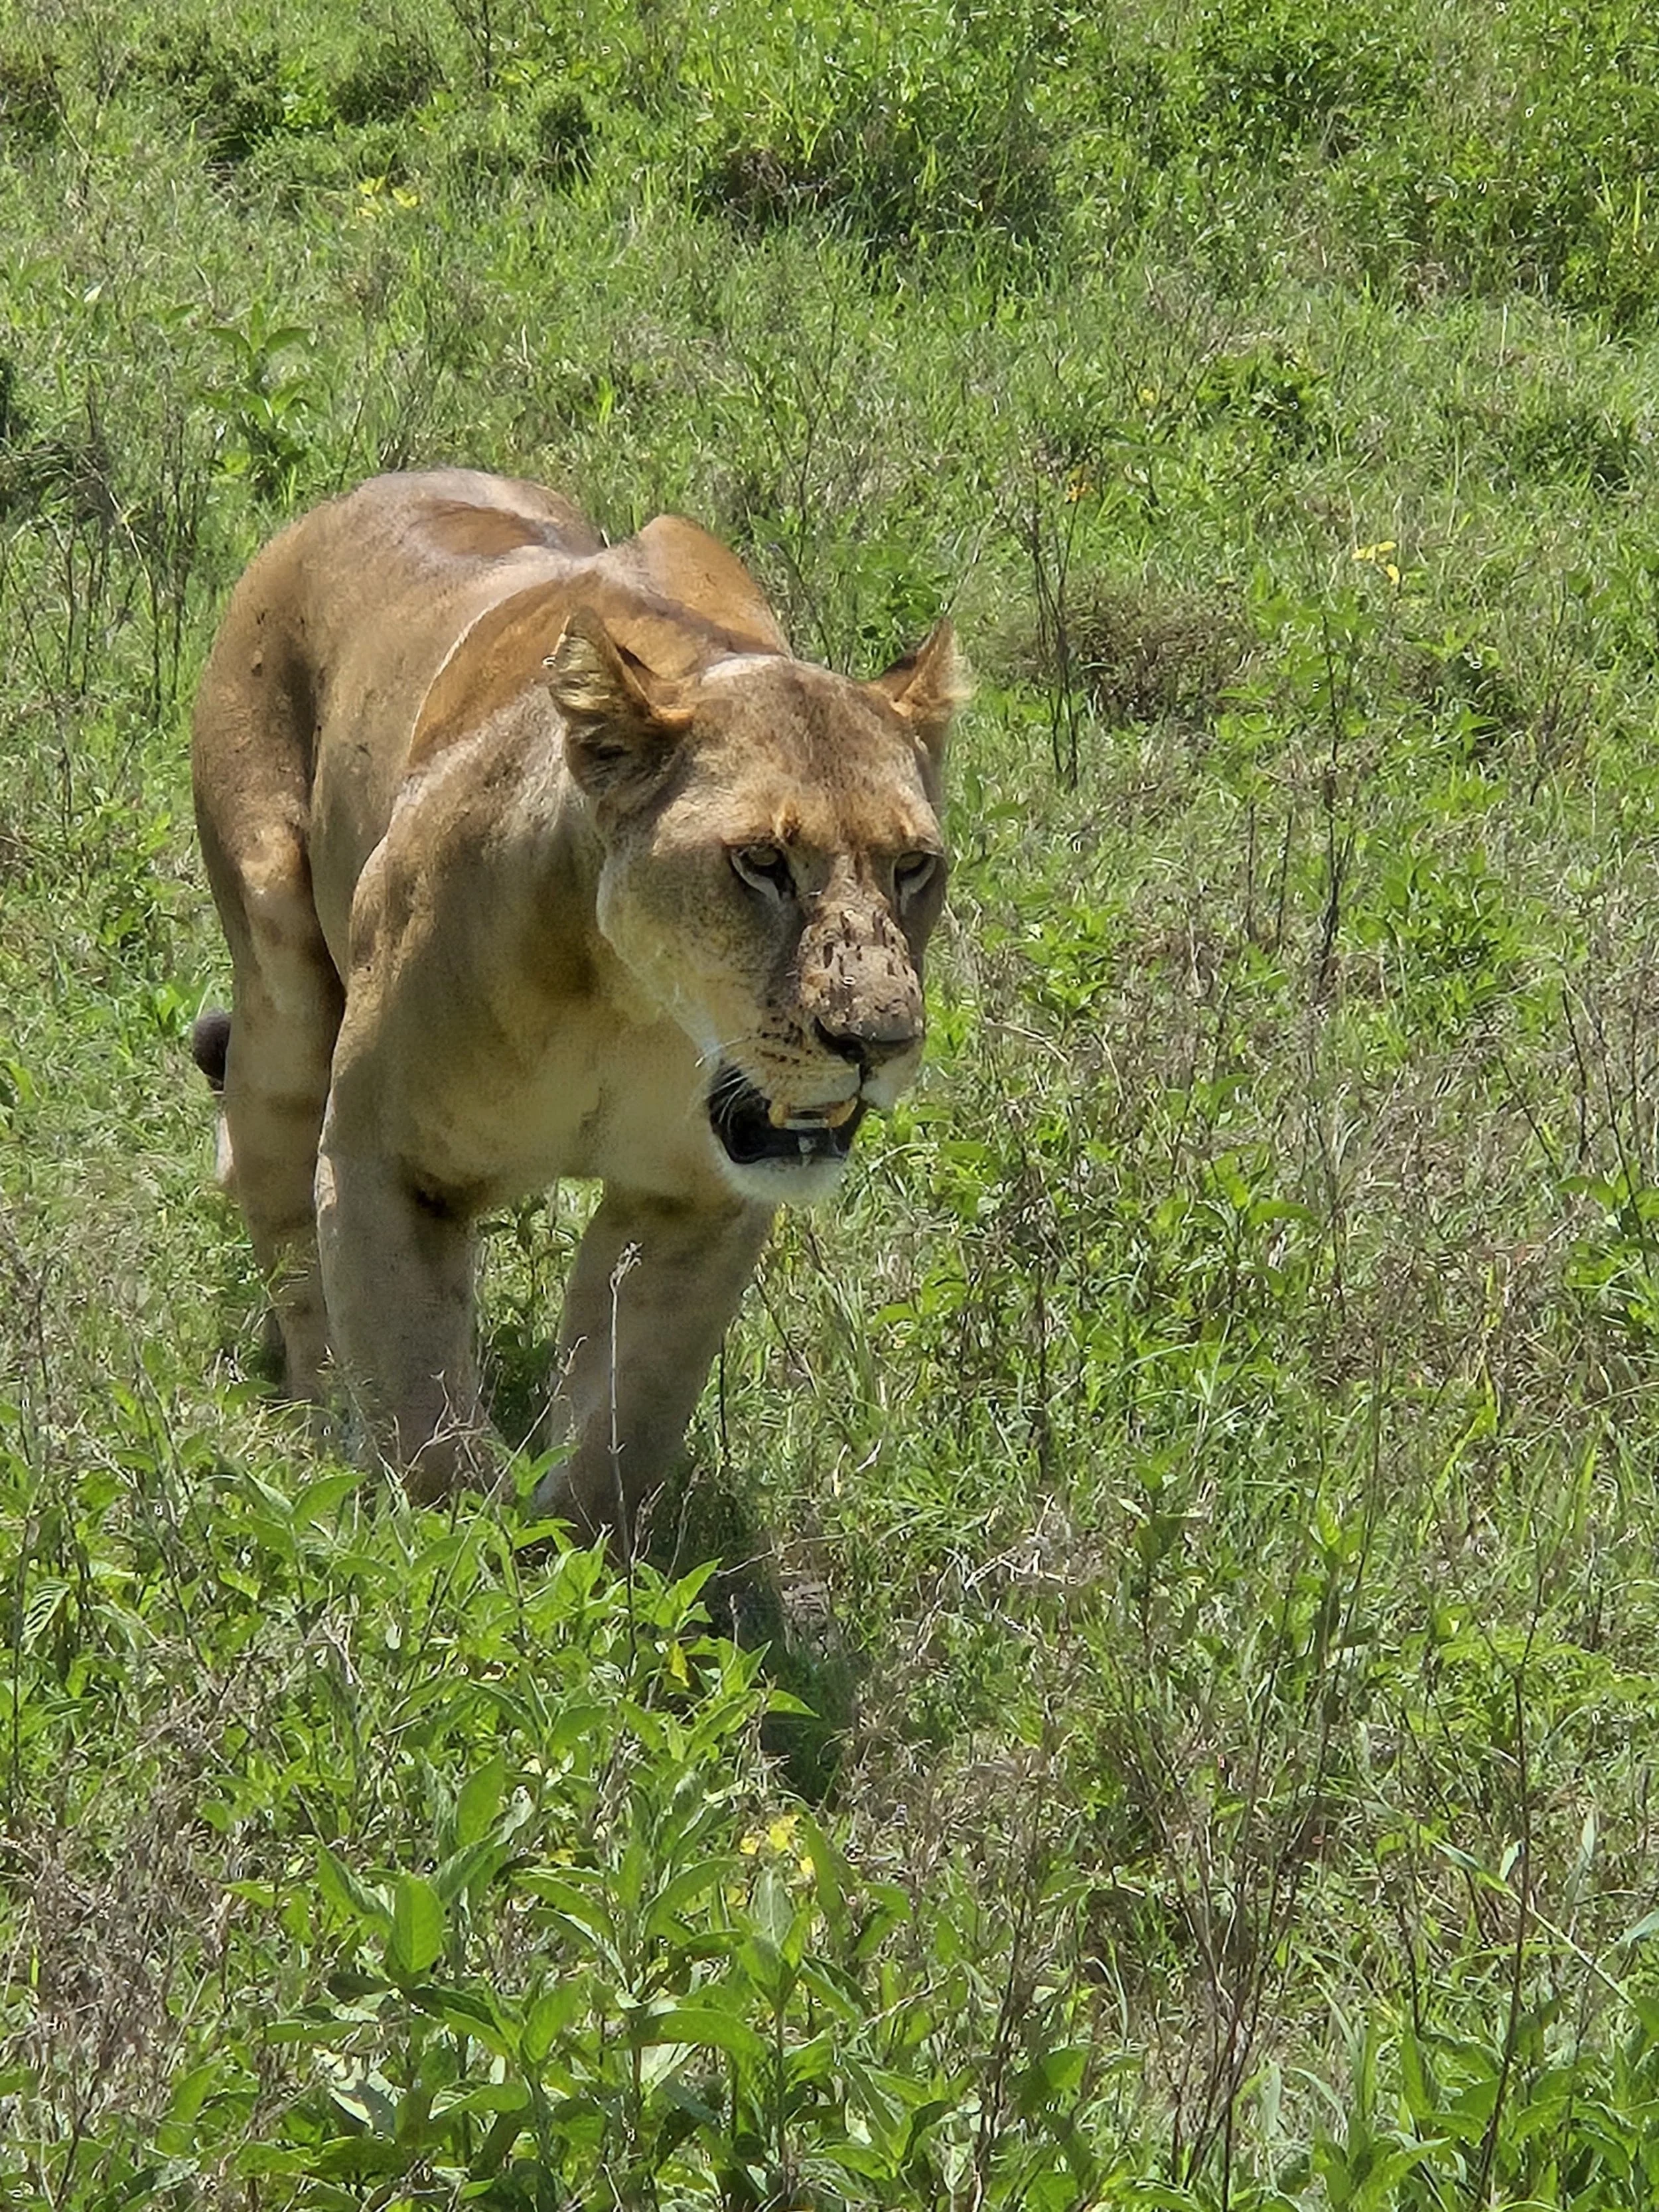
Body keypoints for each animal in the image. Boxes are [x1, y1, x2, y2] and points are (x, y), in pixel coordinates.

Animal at [191, 468, 959, 1545]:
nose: (879, 1042)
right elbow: (421, 1406)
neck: (630, 1007)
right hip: (280, 972)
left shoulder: (691, 1205)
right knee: (278, 1202)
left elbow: (626, 1412)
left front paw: (582, 1556)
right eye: (760, 862)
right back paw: (316, 1416)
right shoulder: (387, 1157)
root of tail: (359, 493)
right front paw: (455, 1561)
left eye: (913, 865)